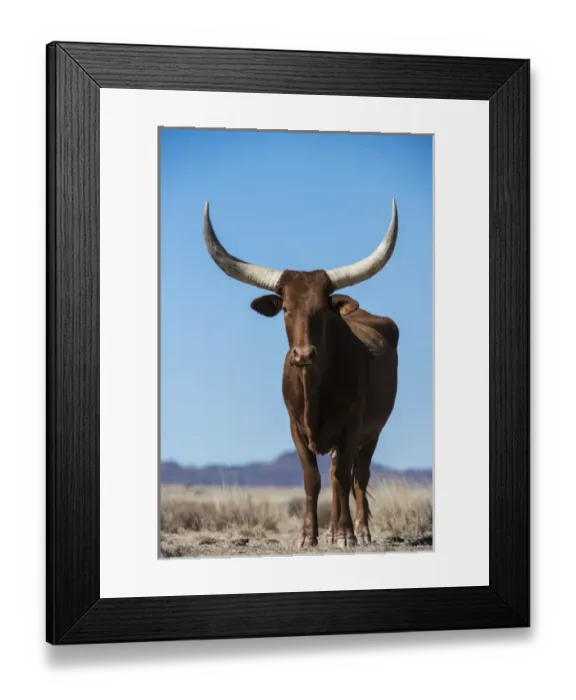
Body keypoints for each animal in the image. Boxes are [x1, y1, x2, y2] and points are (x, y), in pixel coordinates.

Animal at [202, 200, 399, 549]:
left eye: (322, 309)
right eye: (285, 308)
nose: (304, 354)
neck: (314, 390)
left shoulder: (351, 427)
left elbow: (343, 478)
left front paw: (346, 535)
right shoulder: (295, 428)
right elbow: (313, 479)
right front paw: (309, 536)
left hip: (373, 432)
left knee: (358, 477)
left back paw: (360, 532)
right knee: (336, 474)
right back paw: (333, 530)